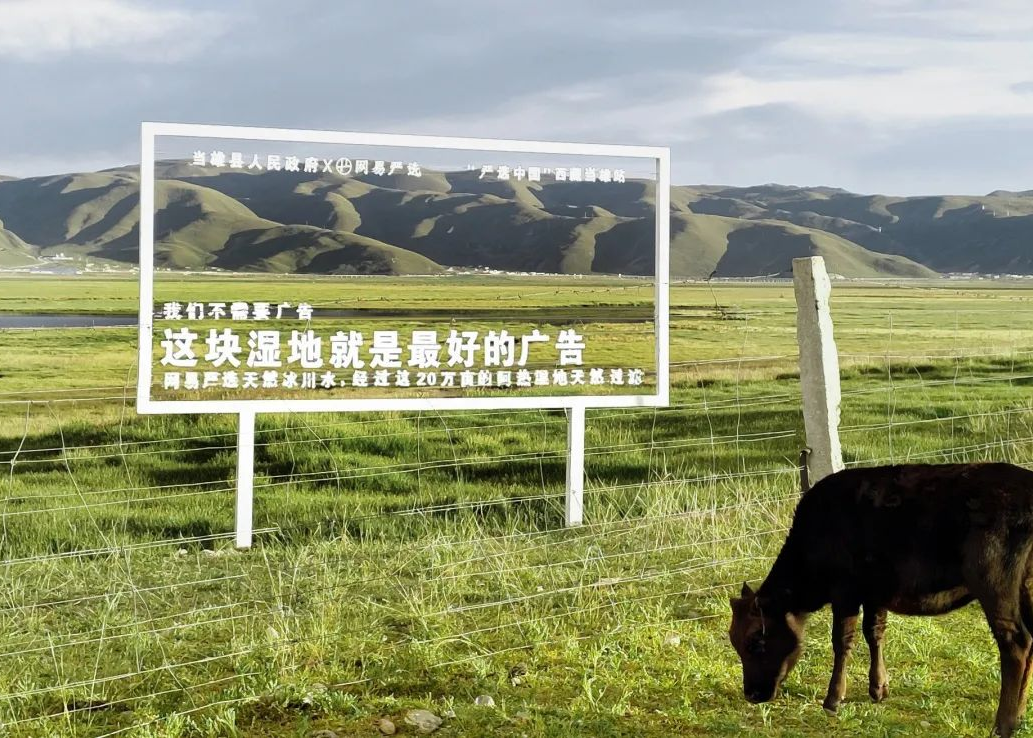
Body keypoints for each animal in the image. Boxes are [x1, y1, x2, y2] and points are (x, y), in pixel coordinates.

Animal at [731, 463, 1033, 731]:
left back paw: (1004, 723)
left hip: (995, 585)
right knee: (1030, 641)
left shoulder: (845, 591)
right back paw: (1018, 715)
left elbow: (842, 640)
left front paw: (833, 699)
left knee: (1016, 643)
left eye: (754, 642)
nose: (751, 694)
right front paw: (878, 688)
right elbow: (874, 632)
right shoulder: (875, 593)